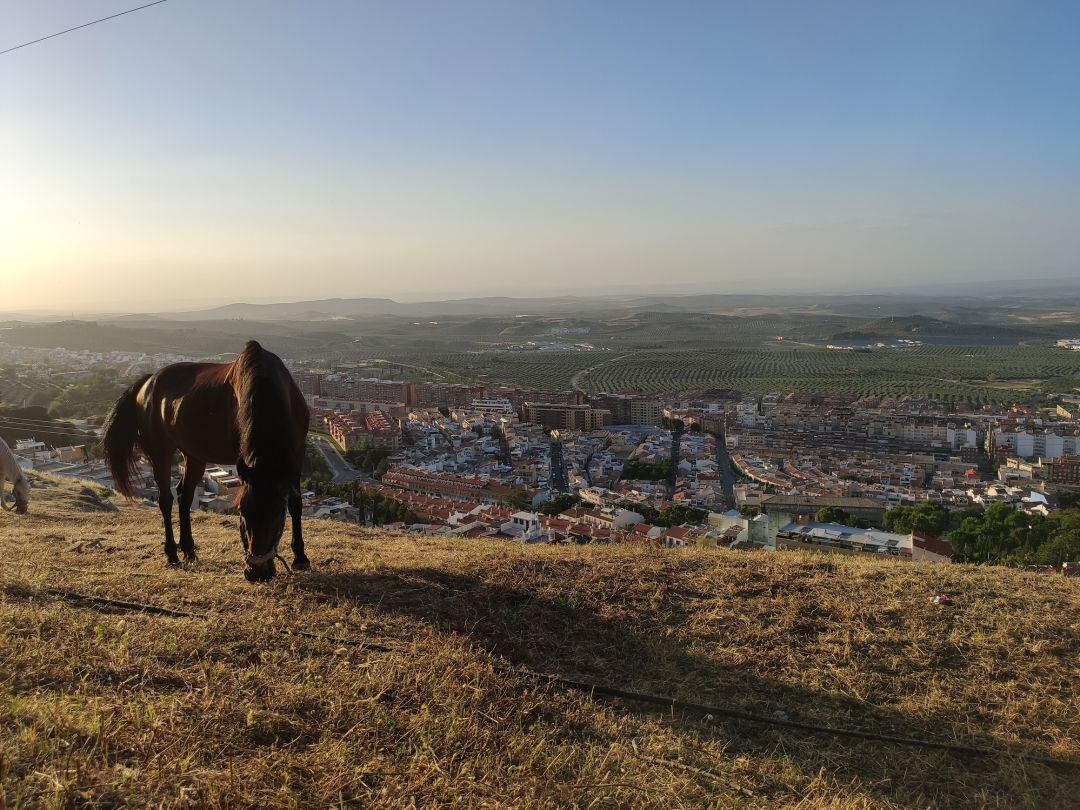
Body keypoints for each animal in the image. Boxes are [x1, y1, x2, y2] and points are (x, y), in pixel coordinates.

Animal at [101, 339, 311, 578]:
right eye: (242, 512)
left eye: (277, 515)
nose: (256, 573)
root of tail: (147, 382)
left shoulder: (297, 453)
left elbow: (295, 502)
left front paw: (301, 557)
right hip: (160, 451)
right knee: (166, 499)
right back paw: (172, 554)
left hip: (194, 454)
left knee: (184, 495)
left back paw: (189, 550)